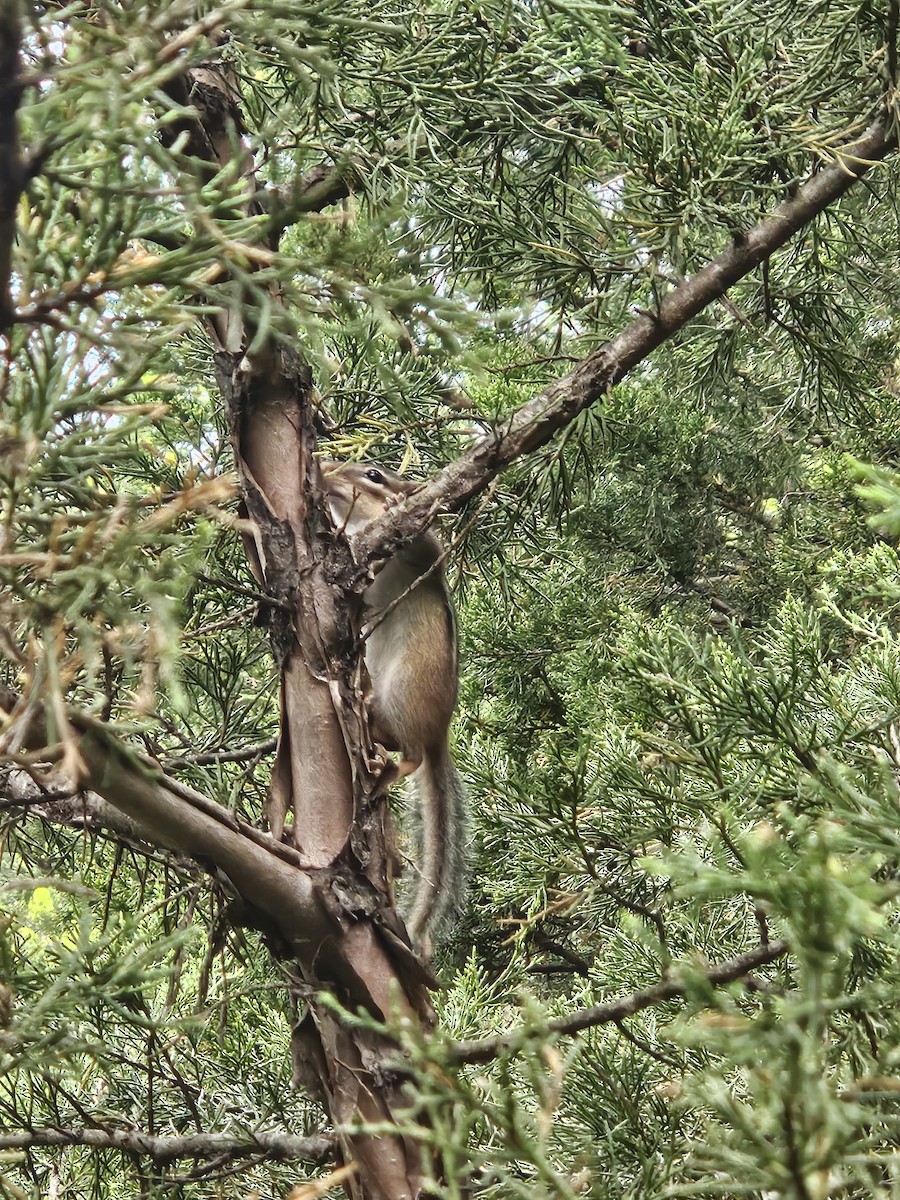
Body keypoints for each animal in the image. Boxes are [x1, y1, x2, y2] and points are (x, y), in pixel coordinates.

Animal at [319, 460, 467, 957]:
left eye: (374, 474)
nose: (323, 471)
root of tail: (439, 734)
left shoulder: (424, 548)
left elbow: (425, 541)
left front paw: (397, 502)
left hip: (405, 695)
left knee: (415, 757)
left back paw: (389, 769)